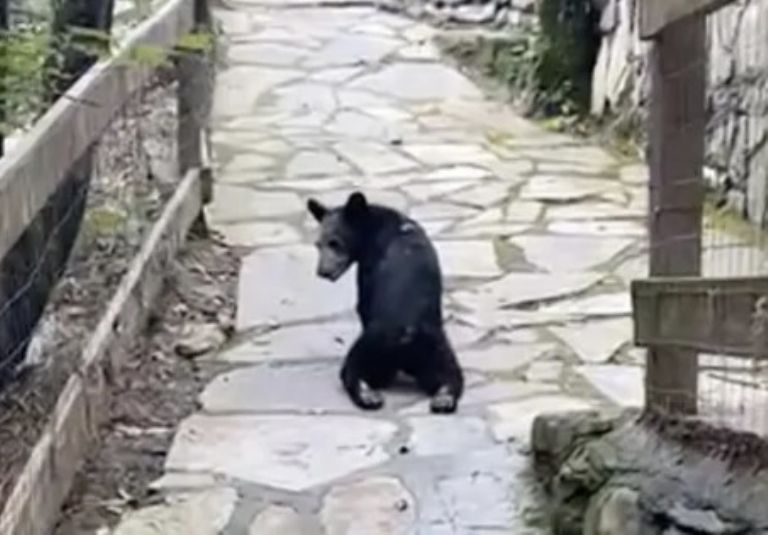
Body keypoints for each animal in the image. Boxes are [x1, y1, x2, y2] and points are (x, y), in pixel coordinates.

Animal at [307, 191, 464, 414]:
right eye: (318, 245)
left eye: (335, 243)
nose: (323, 272)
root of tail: (406, 338)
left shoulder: (368, 268)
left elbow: (363, 304)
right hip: (437, 345)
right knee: (451, 373)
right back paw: (444, 398)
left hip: (374, 344)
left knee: (353, 367)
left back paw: (367, 394)